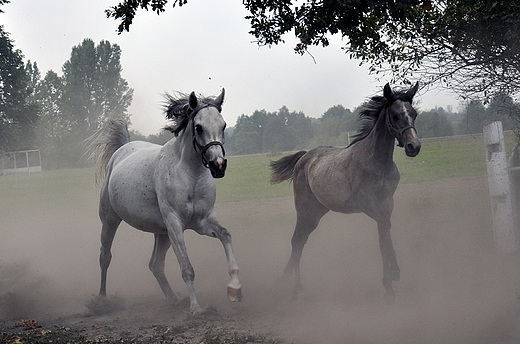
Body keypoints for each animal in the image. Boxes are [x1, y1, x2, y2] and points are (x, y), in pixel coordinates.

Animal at [90, 89, 242, 318]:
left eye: (223, 125)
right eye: (198, 127)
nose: (218, 165)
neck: (190, 174)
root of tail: (122, 148)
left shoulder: (203, 221)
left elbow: (225, 235)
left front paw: (234, 288)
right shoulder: (175, 223)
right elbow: (187, 269)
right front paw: (196, 309)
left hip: (162, 233)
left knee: (155, 265)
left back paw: (174, 299)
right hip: (110, 220)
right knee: (105, 257)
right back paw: (102, 301)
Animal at [270, 82, 420, 298]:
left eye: (413, 113)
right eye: (395, 115)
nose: (413, 146)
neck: (377, 163)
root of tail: (304, 157)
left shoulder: (387, 204)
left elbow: (384, 238)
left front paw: (389, 283)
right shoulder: (368, 205)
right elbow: (385, 235)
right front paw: (394, 273)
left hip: (317, 212)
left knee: (301, 241)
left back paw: (285, 278)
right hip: (305, 211)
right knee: (296, 241)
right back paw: (297, 287)